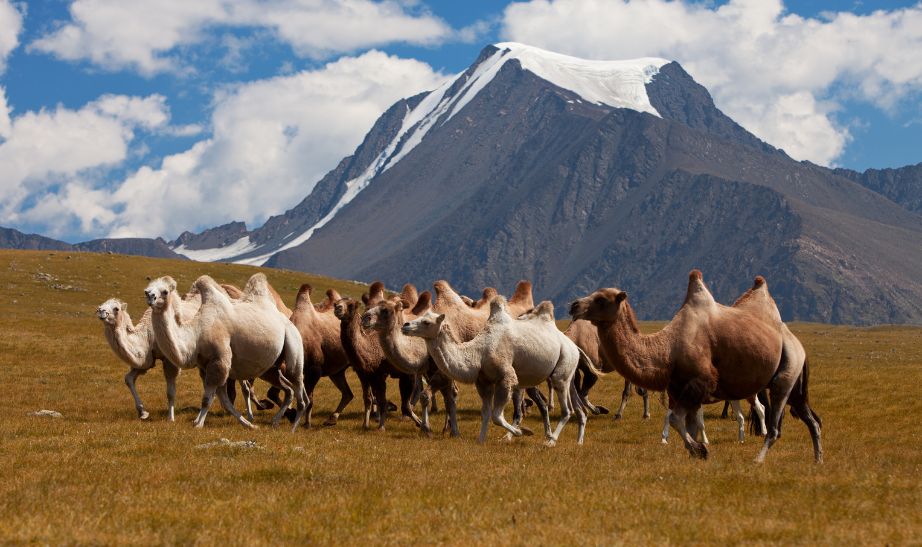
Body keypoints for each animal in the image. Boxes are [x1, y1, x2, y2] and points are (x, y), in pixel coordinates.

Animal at [144, 273, 307, 431]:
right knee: (288, 390)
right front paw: (250, 425)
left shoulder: (219, 360)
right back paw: (275, 421)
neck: (196, 333)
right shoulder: (206, 366)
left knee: (298, 384)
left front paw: (198, 425)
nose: (150, 297)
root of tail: (287, 318)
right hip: (270, 367)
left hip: (293, 343)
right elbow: (225, 402)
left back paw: (293, 428)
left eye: (165, 291)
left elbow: (207, 400)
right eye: (147, 289)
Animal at [334, 295, 419, 431]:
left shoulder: (395, 374)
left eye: (351, 305)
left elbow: (398, 403)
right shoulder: (364, 374)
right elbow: (369, 399)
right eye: (335, 303)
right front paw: (366, 424)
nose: (338, 309)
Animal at [361, 296, 460, 437]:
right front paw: (430, 427)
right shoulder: (425, 371)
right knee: (451, 393)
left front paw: (426, 428)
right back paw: (447, 427)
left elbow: (430, 396)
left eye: (385, 310)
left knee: (452, 393)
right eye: (371, 306)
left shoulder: (440, 370)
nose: (365, 318)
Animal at [403, 296, 589, 446]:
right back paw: (578, 441)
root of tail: (575, 347)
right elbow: (486, 413)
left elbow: (497, 416)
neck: (479, 353)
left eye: (427, 322)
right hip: (568, 372)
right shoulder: (483, 382)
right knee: (577, 407)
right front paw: (480, 440)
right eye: (420, 317)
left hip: (562, 369)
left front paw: (523, 432)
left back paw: (551, 441)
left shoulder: (506, 378)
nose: (405, 325)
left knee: (566, 410)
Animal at [570, 270, 820, 462]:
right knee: (812, 419)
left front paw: (699, 449)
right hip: (793, 382)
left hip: (784, 376)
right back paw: (818, 460)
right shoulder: (679, 390)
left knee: (776, 423)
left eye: (601, 299)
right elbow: (686, 423)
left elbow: (675, 419)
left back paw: (758, 460)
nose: (573, 305)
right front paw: (696, 452)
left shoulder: (698, 384)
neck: (667, 349)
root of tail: (797, 343)